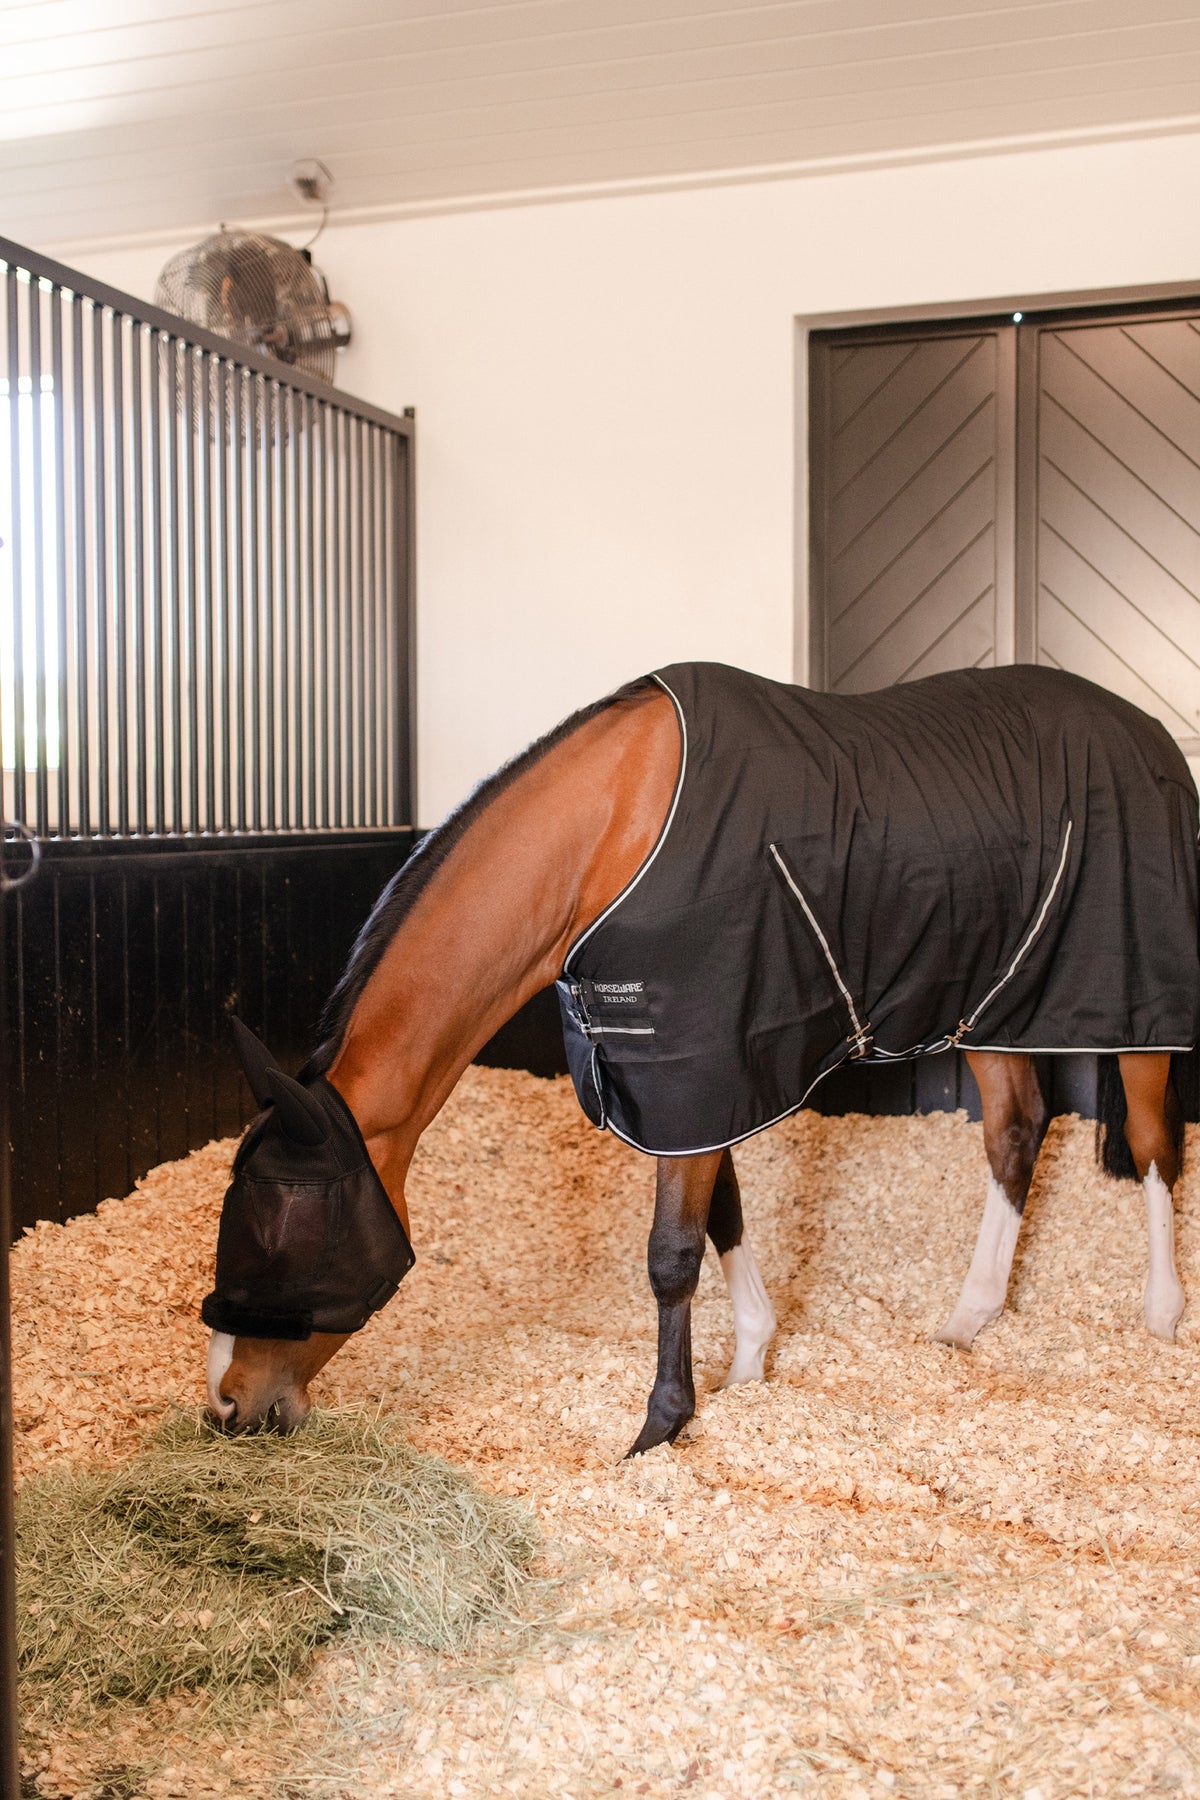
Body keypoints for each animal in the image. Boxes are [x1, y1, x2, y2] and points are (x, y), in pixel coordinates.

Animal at [204, 662, 1198, 1456]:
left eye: (280, 1239)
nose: (227, 1406)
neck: (613, 830)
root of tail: (1146, 728)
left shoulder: (699, 1059)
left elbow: (672, 1254)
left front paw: (660, 1426)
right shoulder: (692, 1087)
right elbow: (724, 1217)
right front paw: (749, 1363)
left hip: (1131, 998)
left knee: (1152, 1138)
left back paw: (1160, 1316)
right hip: (990, 1004)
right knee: (1016, 1131)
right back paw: (968, 1318)